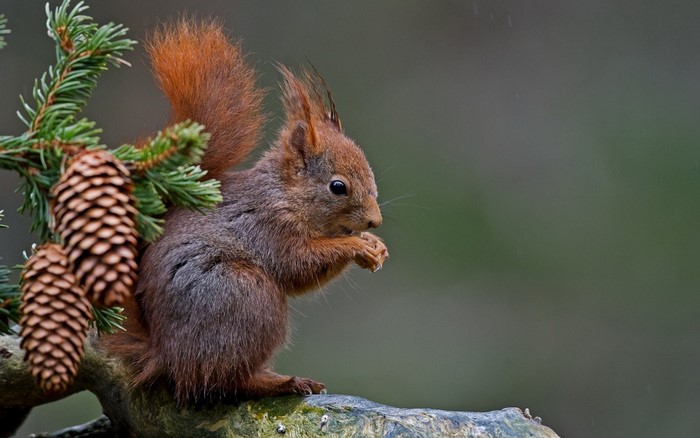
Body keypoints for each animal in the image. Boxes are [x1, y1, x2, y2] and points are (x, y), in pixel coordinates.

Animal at [102, 19, 388, 404]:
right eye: (337, 187)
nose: (375, 220)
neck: (284, 195)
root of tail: (164, 354)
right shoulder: (268, 227)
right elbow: (298, 265)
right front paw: (356, 245)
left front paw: (374, 245)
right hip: (247, 299)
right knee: (227, 380)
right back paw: (282, 382)